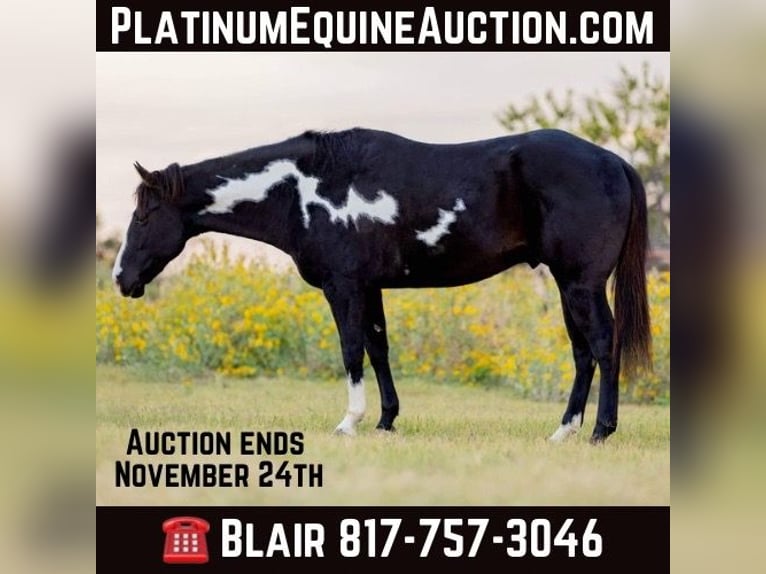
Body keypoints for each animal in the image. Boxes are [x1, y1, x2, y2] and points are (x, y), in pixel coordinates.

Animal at [112, 127, 651, 443]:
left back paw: (600, 431)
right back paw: (563, 432)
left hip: (581, 284)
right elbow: (378, 349)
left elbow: (351, 350)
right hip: (568, 286)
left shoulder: (343, 286)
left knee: (604, 345)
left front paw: (348, 422)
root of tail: (614, 161)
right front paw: (386, 419)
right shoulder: (369, 288)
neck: (303, 188)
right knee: (582, 353)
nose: (121, 278)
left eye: (144, 215)